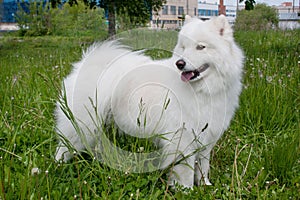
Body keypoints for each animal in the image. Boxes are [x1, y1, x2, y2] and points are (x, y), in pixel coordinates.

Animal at [55, 15, 244, 188]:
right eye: (183, 47)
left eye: (200, 47)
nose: (180, 63)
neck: (202, 90)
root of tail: (87, 64)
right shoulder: (183, 141)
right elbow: (186, 172)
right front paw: (186, 190)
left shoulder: (206, 139)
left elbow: (203, 167)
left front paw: (206, 185)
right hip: (81, 123)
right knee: (64, 146)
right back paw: (58, 166)